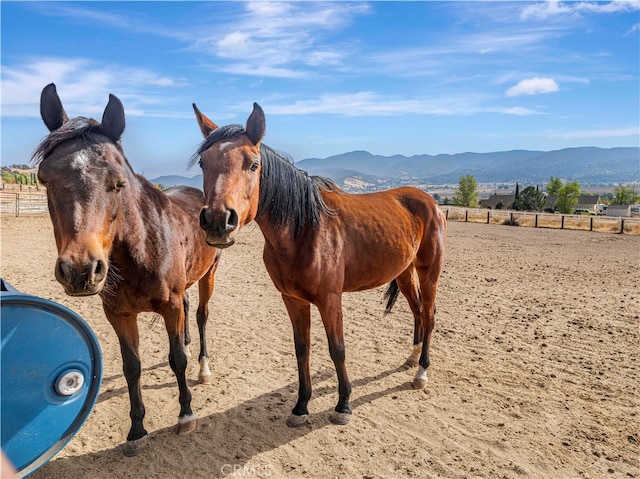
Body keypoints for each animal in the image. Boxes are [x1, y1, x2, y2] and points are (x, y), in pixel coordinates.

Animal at [32, 83, 222, 458]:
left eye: (119, 183)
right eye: (44, 178)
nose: (80, 270)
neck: (140, 252)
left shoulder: (170, 307)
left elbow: (177, 359)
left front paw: (186, 415)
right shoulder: (119, 314)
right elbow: (132, 367)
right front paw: (136, 431)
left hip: (209, 274)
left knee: (201, 315)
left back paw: (204, 367)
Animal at [192, 102, 448, 428]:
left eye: (253, 164)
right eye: (203, 163)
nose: (217, 221)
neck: (304, 230)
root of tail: (429, 200)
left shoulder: (330, 299)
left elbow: (337, 349)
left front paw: (343, 405)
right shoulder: (293, 300)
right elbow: (302, 349)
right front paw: (301, 406)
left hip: (429, 272)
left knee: (429, 314)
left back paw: (421, 372)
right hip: (404, 273)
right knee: (417, 311)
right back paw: (412, 359)